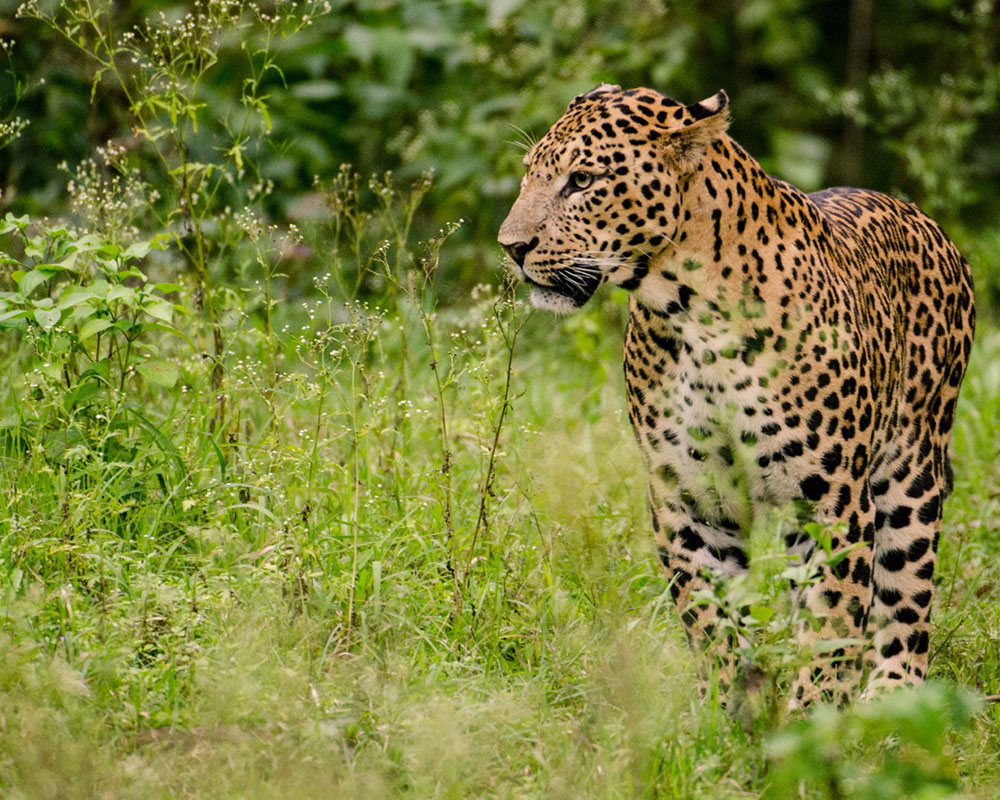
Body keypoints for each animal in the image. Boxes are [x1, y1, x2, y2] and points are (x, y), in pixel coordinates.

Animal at [500, 83, 976, 708]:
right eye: (529, 174)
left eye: (581, 181)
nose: (511, 246)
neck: (690, 314)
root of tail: (926, 220)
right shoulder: (690, 500)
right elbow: (712, 620)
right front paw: (726, 713)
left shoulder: (833, 505)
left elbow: (830, 627)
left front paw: (808, 720)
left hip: (911, 476)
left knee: (906, 605)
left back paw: (890, 699)